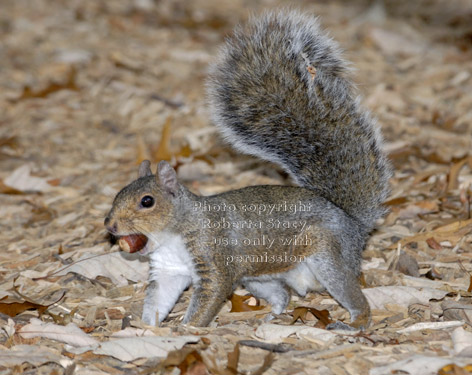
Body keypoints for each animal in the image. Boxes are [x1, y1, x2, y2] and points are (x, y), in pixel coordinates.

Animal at [105, 10, 392, 330]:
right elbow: (159, 299)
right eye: (118, 194)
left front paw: (187, 328)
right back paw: (270, 316)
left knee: (351, 294)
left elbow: (210, 295)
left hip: (328, 257)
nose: (110, 226)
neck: (173, 233)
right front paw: (146, 327)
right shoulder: (169, 269)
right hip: (258, 277)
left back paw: (353, 322)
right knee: (282, 294)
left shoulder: (214, 256)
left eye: (147, 201)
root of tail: (354, 224)